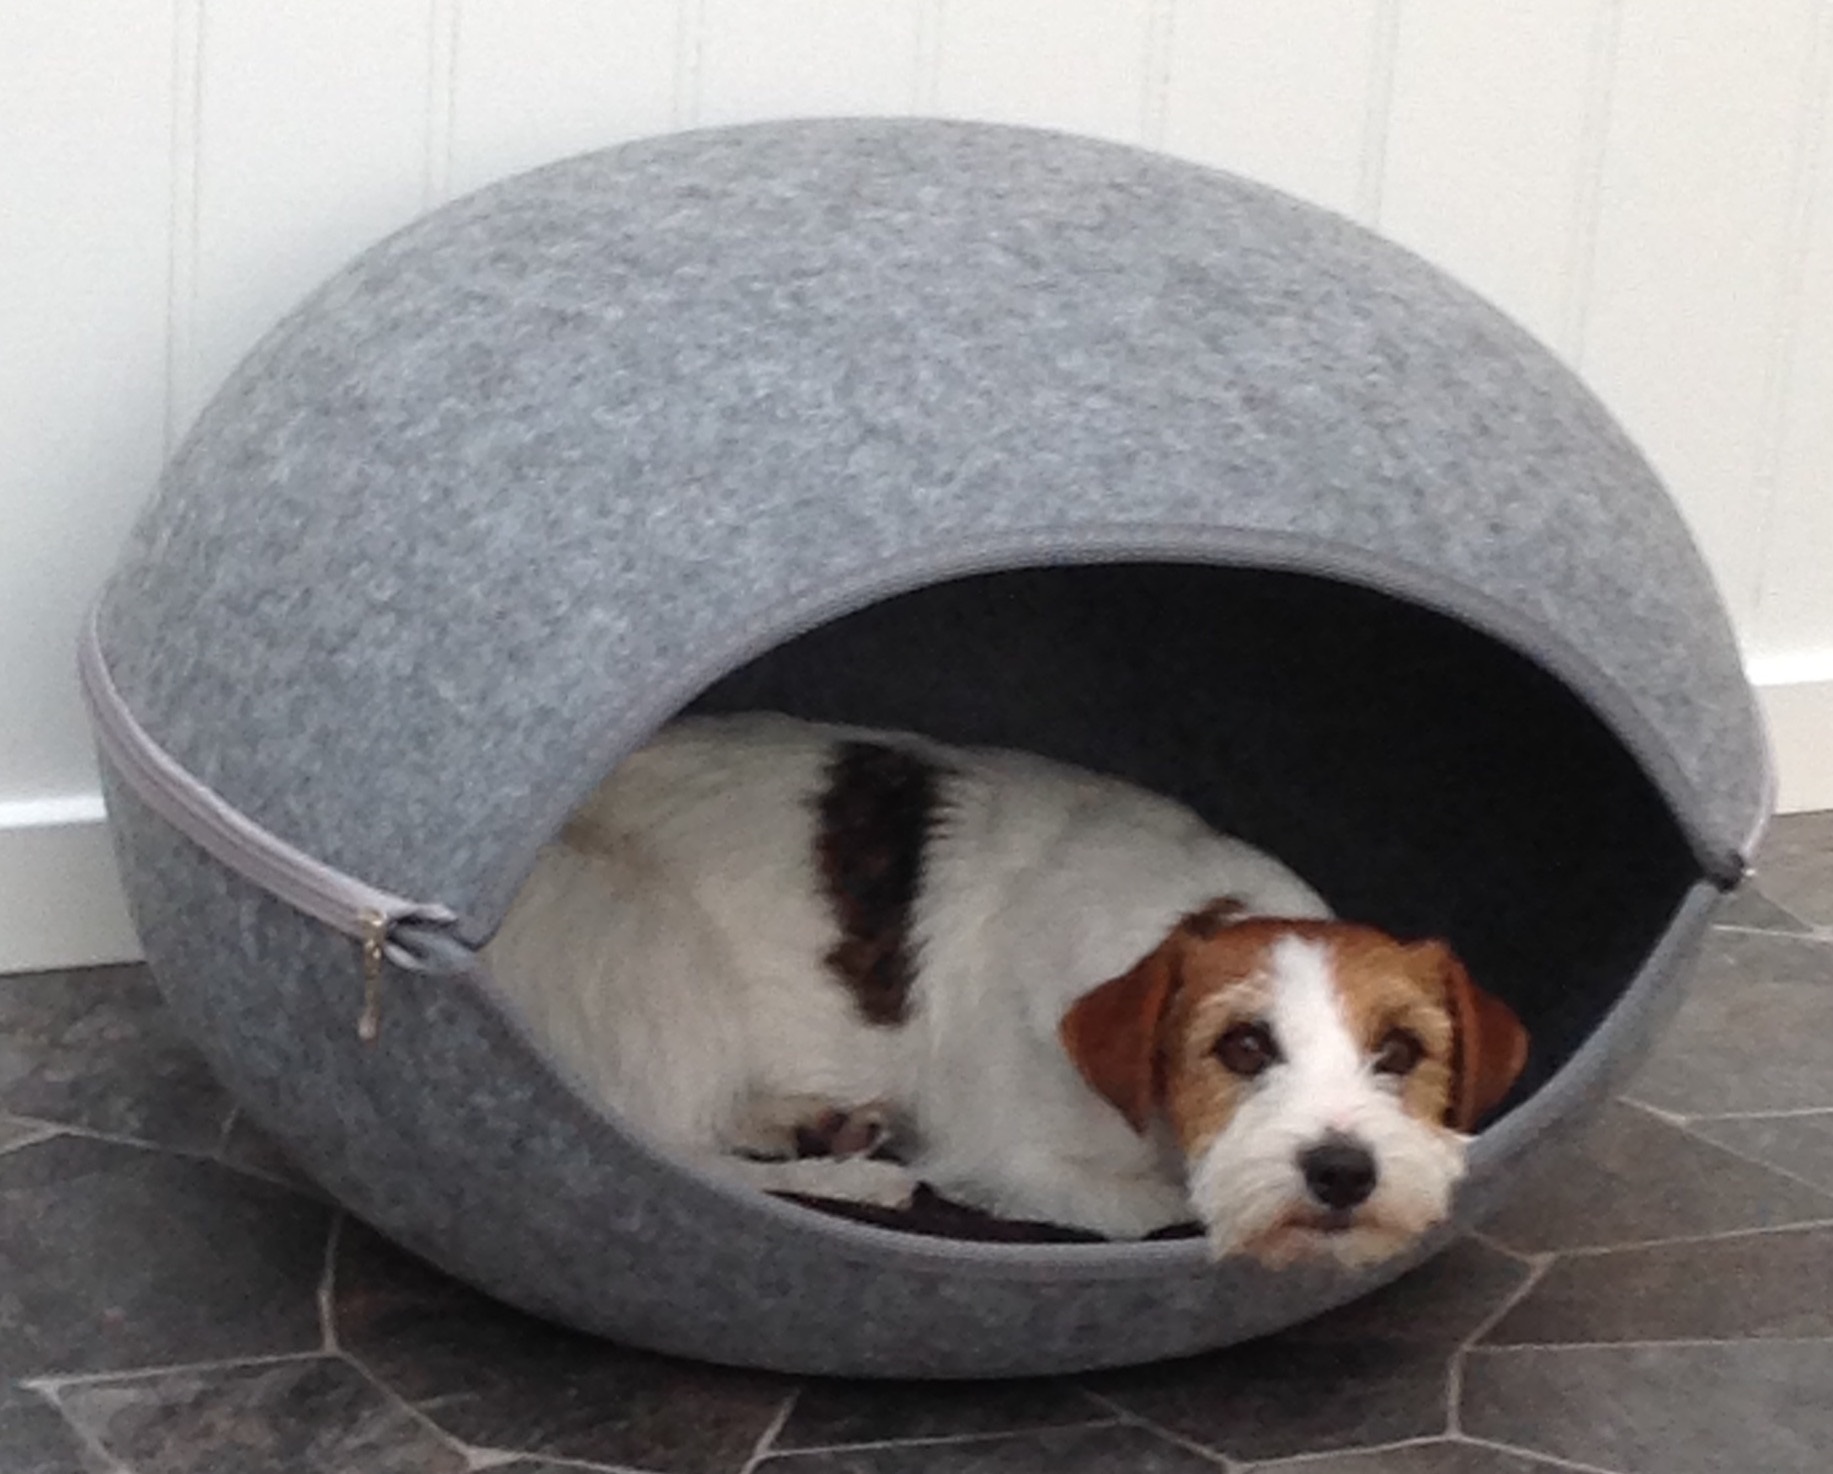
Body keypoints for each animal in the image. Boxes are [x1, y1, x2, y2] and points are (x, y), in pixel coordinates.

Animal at [484, 713, 1528, 1265]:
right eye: (1241, 1048)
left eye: (1400, 1053)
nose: (1345, 1172)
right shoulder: (1009, 1160)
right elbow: (1160, 1206)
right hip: (639, 928)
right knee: (659, 1147)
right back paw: (850, 1175)